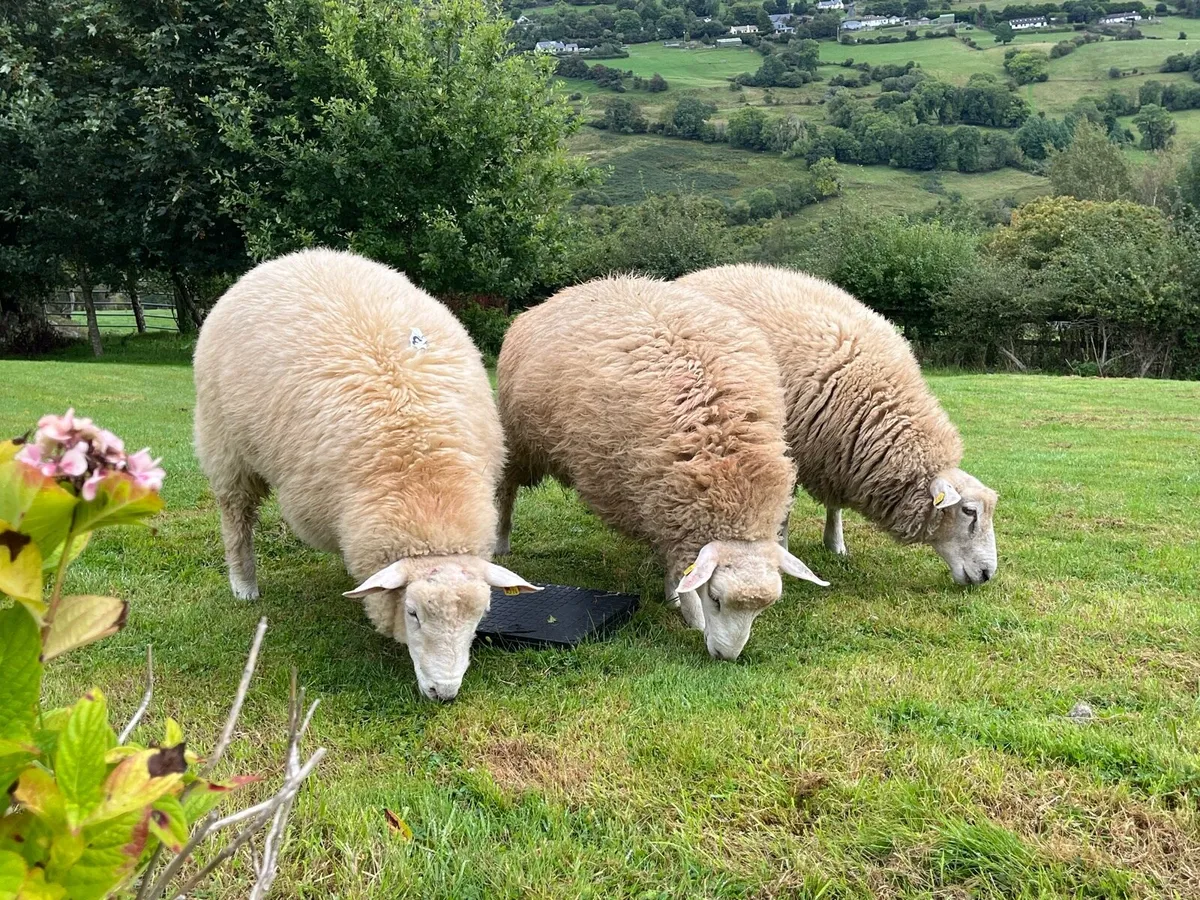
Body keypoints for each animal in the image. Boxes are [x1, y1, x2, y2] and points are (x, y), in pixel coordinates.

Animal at [193, 248, 540, 701]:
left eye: (481, 614)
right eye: (412, 613)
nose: (443, 692)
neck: (426, 481)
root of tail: (298, 256)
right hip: (225, 445)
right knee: (236, 517)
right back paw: (244, 585)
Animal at [495, 274, 827, 661]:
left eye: (761, 610)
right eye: (716, 599)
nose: (726, 657)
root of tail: (567, 292)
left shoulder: (667, 500)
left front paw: (674, 596)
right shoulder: (657, 496)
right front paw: (688, 611)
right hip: (519, 441)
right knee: (506, 492)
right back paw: (501, 541)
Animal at [676, 264, 998, 586]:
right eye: (969, 511)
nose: (987, 574)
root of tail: (704, 272)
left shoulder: (837, 451)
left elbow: (835, 504)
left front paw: (835, 544)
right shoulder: (790, 450)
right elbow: (786, 506)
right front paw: (784, 548)